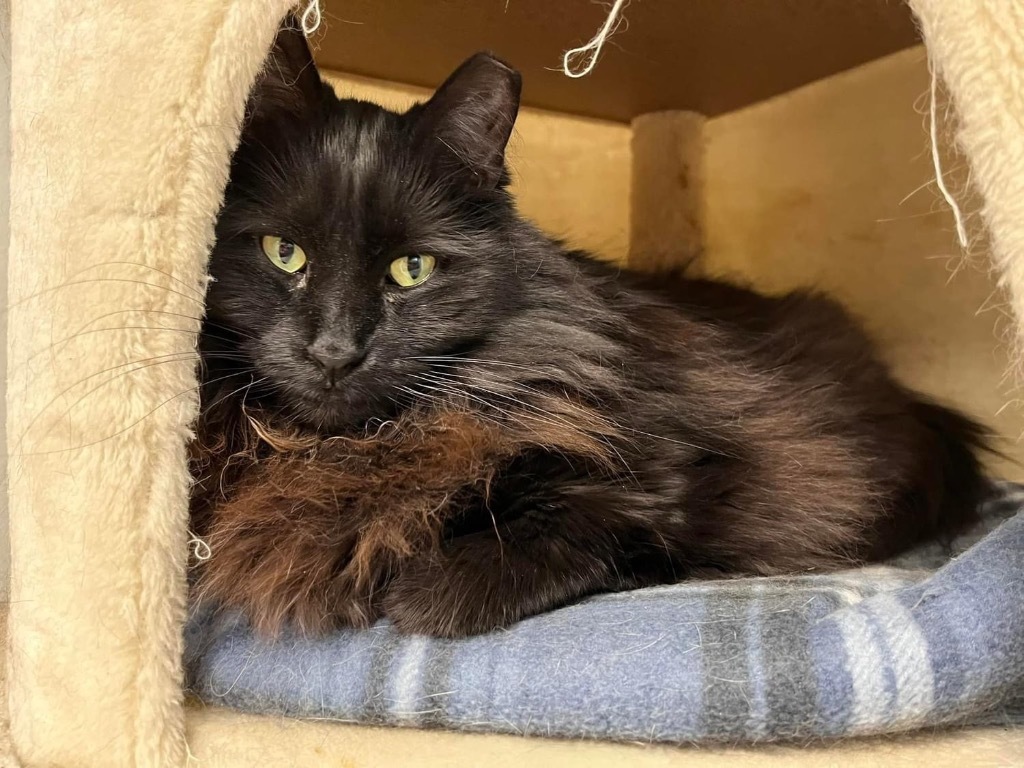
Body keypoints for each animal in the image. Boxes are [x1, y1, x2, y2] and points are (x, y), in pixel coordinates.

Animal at [188, 20, 987, 638]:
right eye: (283, 252)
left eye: (412, 269)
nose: (334, 352)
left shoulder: (686, 468)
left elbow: (595, 519)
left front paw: (427, 592)